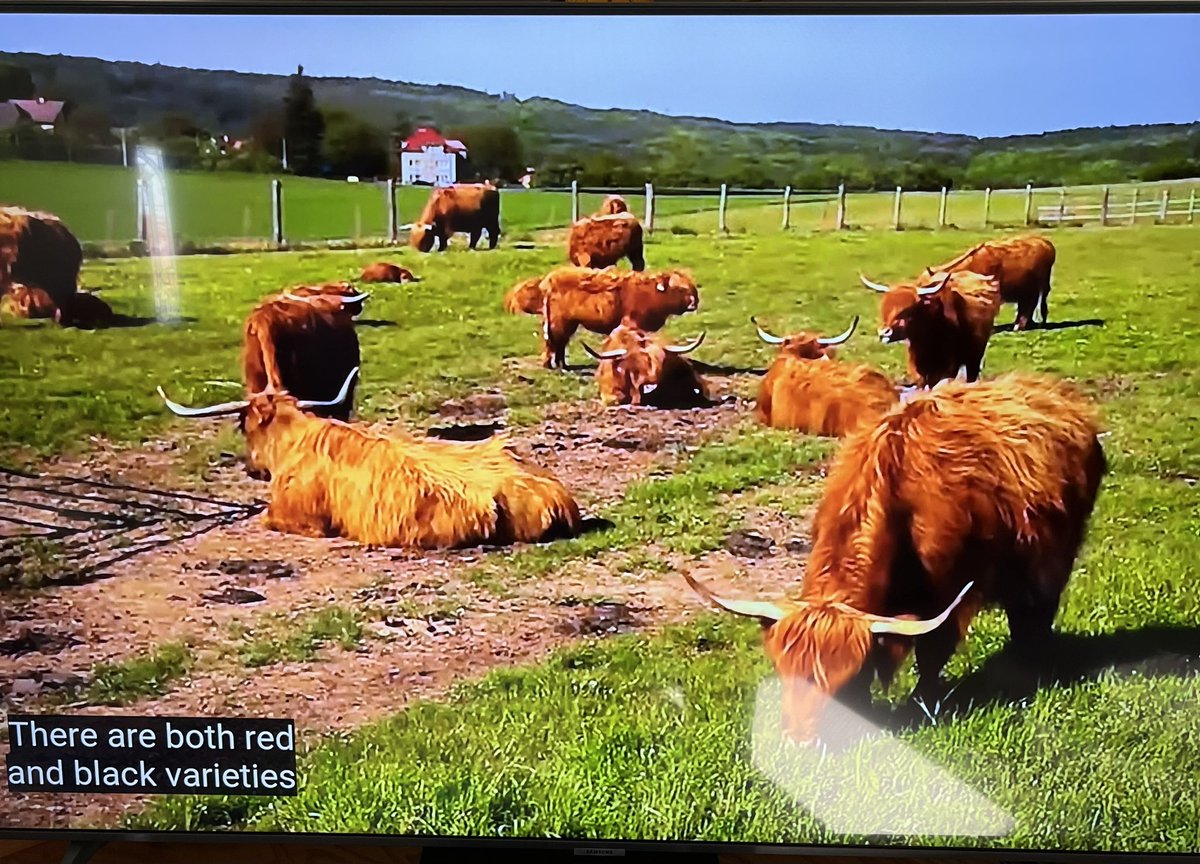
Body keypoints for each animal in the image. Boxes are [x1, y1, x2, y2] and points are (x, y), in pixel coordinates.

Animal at [538, 267, 700, 369]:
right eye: (680, 288)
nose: (695, 302)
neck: (650, 293)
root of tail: (550, 279)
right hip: (558, 322)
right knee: (553, 342)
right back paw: (549, 365)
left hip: (569, 323)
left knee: (561, 342)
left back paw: (562, 365)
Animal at [685, 372, 1107, 744]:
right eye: (783, 671)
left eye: (847, 682)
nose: (800, 740)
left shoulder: (949, 592)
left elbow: (933, 651)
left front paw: (922, 704)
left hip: (1054, 555)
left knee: (1036, 612)